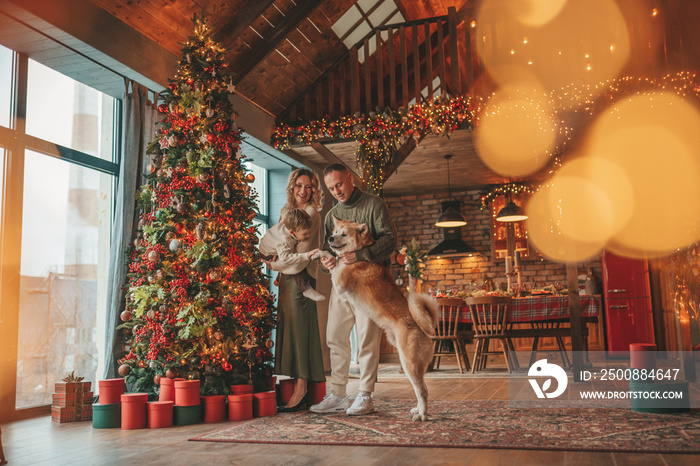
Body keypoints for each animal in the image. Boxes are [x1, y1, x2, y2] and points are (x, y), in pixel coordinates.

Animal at [312, 217, 438, 420]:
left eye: (343, 234)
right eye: (335, 232)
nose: (330, 238)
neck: (357, 255)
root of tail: (423, 329)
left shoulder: (340, 281)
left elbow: (335, 259)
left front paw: (323, 253)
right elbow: (331, 256)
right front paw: (317, 254)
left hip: (409, 363)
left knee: (423, 391)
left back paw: (422, 416)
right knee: (420, 391)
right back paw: (417, 410)